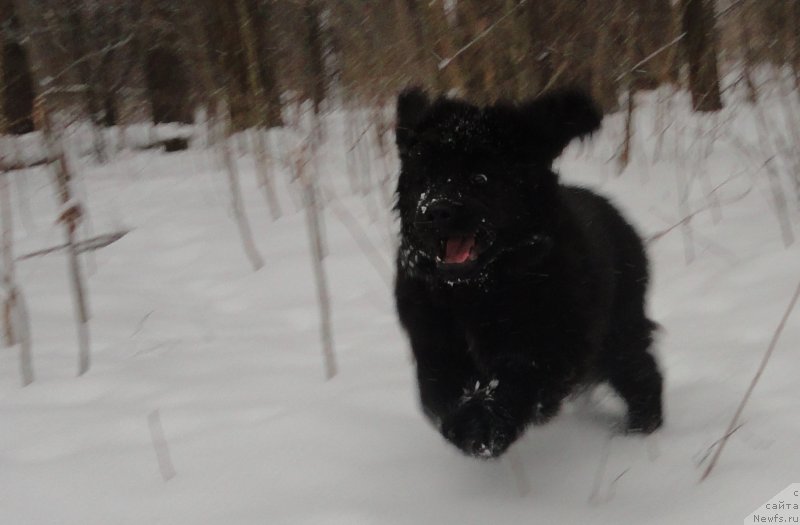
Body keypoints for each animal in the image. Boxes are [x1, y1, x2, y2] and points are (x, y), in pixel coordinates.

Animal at [394, 88, 664, 456]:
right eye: (424, 177)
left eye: (480, 176)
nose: (435, 211)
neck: (476, 290)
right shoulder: (433, 340)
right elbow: (438, 389)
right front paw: (461, 419)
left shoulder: (550, 342)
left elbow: (516, 379)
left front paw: (480, 426)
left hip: (618, 330)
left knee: (642, 372)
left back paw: (641, 430)